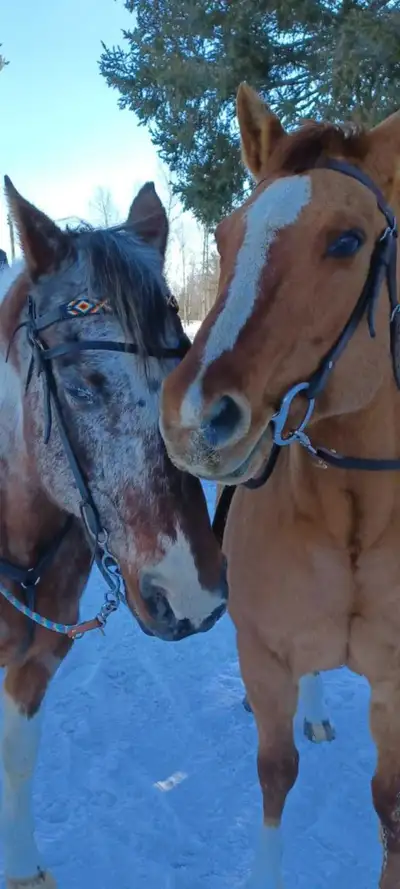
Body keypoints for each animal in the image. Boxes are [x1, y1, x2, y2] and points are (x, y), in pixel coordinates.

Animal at [160, 82, 400, 887]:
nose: (193, 417)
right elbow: (274, 771)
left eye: (348, 242)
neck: (354, 516)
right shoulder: (264, 657)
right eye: (226, 236)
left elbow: (389, 802)